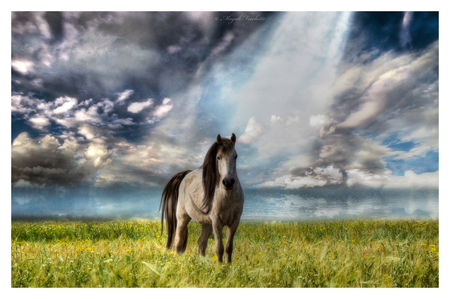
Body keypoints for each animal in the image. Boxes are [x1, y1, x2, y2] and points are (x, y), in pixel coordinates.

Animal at [160, 135, 244, 264]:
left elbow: (229, 247)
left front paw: (228, 266)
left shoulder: (234, 222)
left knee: (201, 242)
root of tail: (187, 174)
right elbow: (219, 247)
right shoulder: (216, 222)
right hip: (182, 218)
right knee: (178, 241)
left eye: (235, 156)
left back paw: (202, 262)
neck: (228, 197)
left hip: (206, 224)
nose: (228, 182)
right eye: (218, 157)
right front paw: (220, 267)